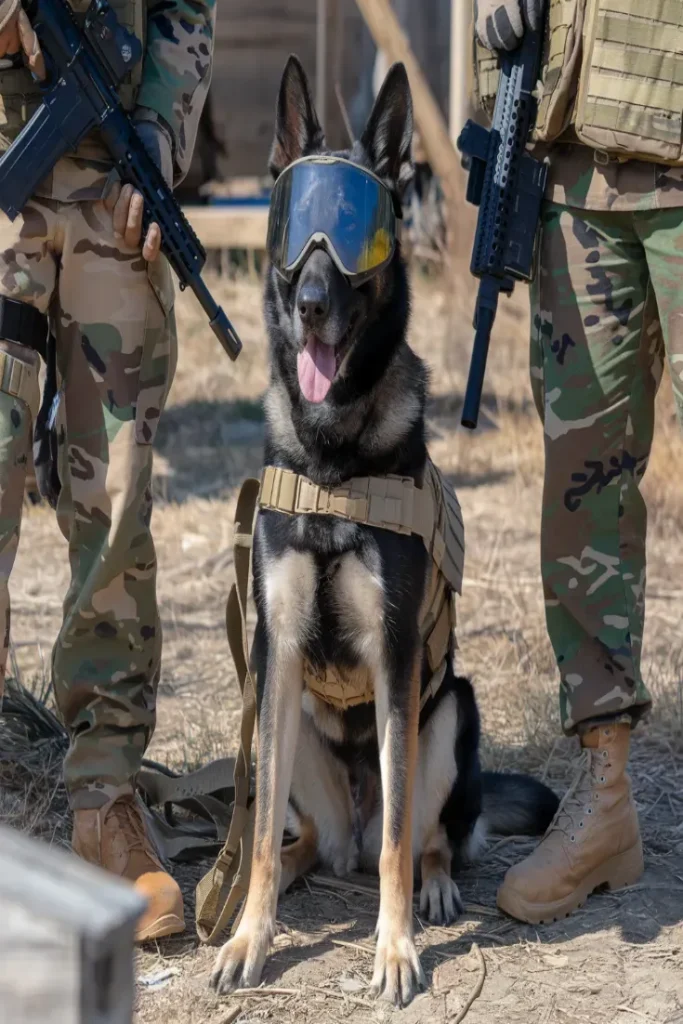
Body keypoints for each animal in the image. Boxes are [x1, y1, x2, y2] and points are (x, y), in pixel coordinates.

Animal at [210, 56, 557, 1007]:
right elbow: (257, 831)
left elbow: (406, 833)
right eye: (297, 232)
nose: (311, 302)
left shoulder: (398, 661)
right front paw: (250, 937)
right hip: (291, 730)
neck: (334, 459)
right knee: (299, 841)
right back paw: (273, 885)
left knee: (420, 835)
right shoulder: (277, 652)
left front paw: (395, 949)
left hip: (449, 714)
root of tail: (348, 838)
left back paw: (431, 886)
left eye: (354, 238)